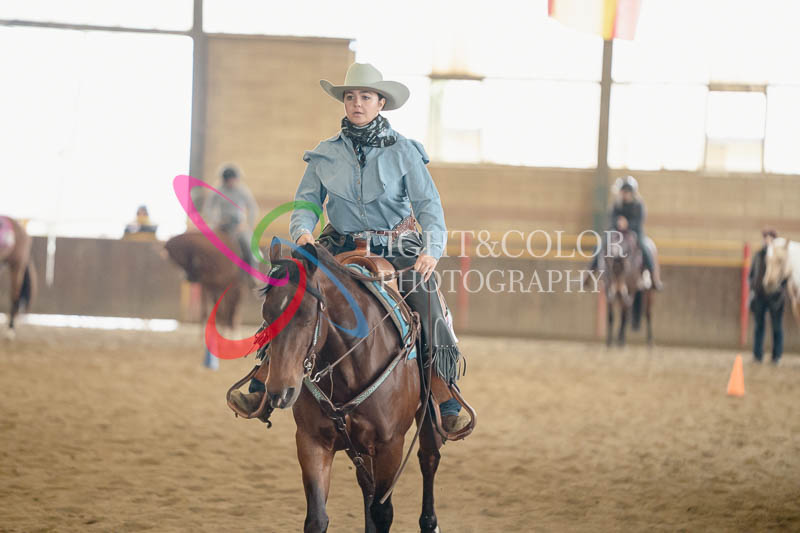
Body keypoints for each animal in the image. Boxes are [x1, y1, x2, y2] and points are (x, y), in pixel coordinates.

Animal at [249, 242, 456, 533]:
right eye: (267, 315)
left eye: (306, 316)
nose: (280, 392)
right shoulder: (312, 441)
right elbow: (317, 518)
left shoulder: (390, 444)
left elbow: (383, 512)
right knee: (367, 484)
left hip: (427, 416)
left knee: (429, 459)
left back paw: (430, 522)